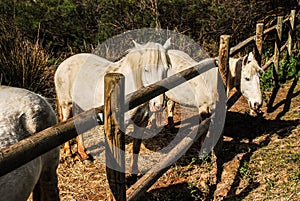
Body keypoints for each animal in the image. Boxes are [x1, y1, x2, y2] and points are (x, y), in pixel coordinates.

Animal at [54, 38, 171, 171]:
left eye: (166, 69)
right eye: (146, 69)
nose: (159, 104)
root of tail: (64, 63)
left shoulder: (141, 122)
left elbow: (136, 149)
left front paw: (134, 172)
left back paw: (83, 155)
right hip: (66, 105)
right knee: (65, 122)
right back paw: (69, 153)